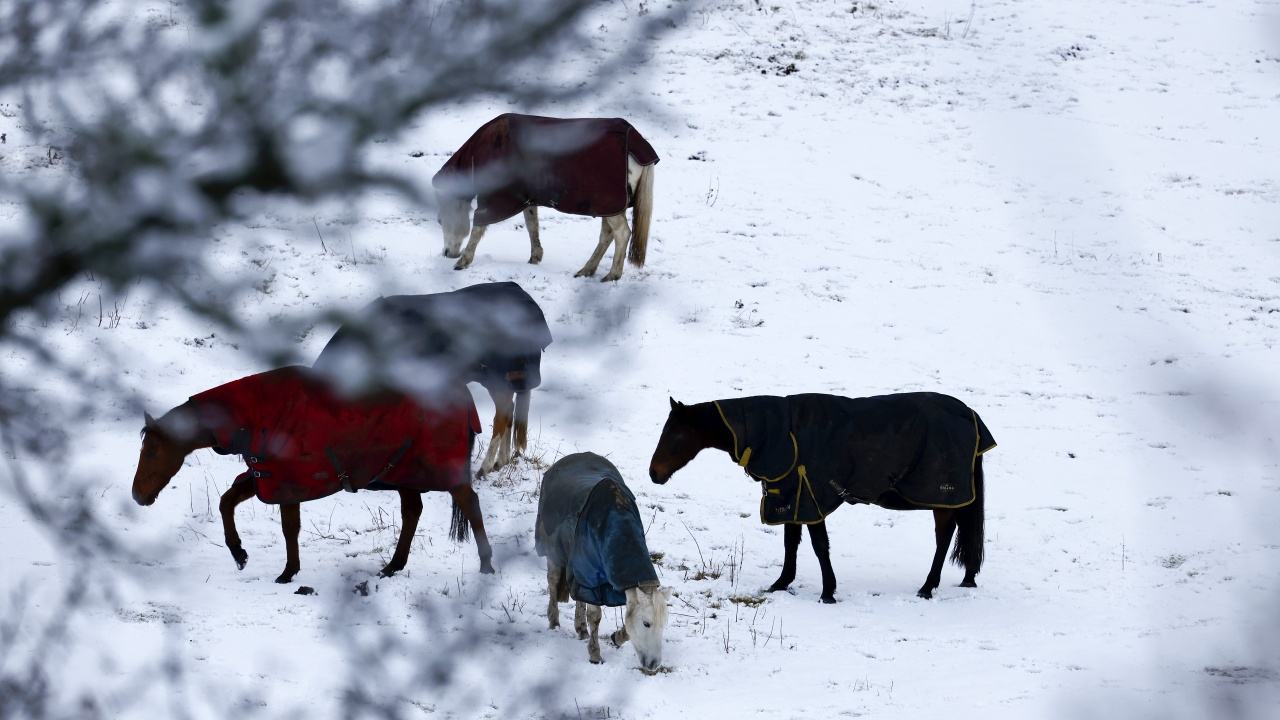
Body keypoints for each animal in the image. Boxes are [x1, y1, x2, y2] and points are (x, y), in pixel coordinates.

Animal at [127, 366, 491, 579]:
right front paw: (239, 553)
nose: (137, 495)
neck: (258, 414)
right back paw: (392, 566)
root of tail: (461, 391)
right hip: (403, 473)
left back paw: (486, 565)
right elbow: (226, 502)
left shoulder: (286, 483)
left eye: (153, 451)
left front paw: (288, 572)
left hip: (442, 473)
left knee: (470, 505)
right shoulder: (264, 476)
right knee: (412, 511)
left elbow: (289, 528)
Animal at [435, 112, 660, 280]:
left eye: (440, 220)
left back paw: (612, 275)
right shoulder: (526, 196)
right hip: (609, 204)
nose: (446, 253)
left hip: (610, 203)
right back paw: (587, 270)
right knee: (607, 235)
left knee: (621, 233)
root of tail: (636, 141)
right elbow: (532, 225)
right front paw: (535, 257)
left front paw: (463, 261)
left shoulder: (494, 197)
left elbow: (478, 228)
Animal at [645, 392, 993, 599]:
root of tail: (969, 413)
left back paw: (928, 586)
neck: (783, 433)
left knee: (944, 537)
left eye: (675, 433)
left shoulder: (811, 496)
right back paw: (966, 577)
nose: (654, 473)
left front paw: (828, 592)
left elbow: (818, 546)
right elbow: (791, 543)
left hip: (943, 496)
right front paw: (781, 583)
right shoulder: (791, 495)